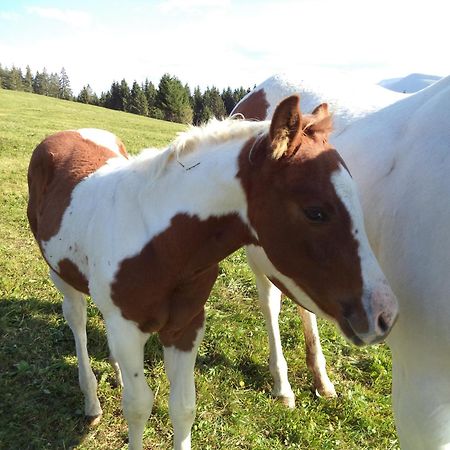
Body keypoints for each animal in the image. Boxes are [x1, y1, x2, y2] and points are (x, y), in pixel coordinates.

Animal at [27, 96, 398, 450]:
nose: (385, 315)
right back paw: (91, 402)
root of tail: (67, 132)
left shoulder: (186, 326)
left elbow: (183, 407)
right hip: (61, 277)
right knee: (77, 323)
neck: (159, 243)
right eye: (316, 212)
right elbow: (138, 406)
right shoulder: (128, 328)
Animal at [232, 72, 450, 448]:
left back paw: (321, 379)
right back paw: (283, 386)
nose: (384, 317)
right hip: (261, 259)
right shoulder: (422, 387)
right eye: (316, 212)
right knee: (271, 303)